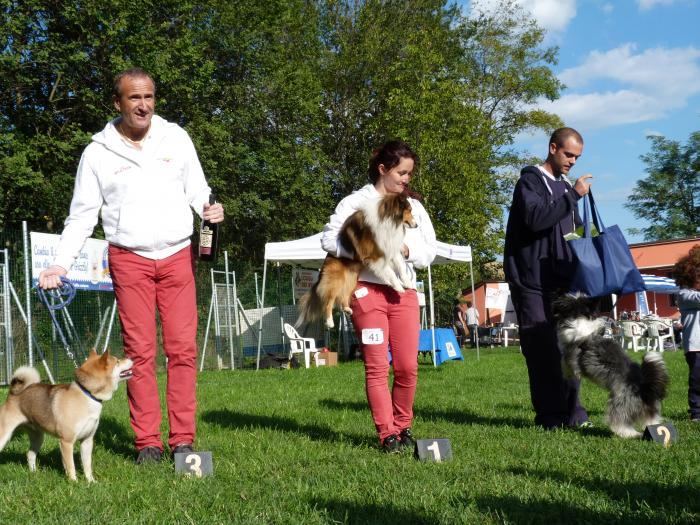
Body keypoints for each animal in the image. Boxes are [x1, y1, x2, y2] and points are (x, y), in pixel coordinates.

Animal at [0, 350, 133, 482]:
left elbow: (87, 465)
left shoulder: (87, 440)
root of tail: (12, 394)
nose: (130, 358)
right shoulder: (66, 442)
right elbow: (70, 466)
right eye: (117, 361)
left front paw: (91, 482)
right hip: (4, 435)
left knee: (30, 454)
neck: (87, 395)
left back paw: (34, 473)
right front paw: (74, 482)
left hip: (38, 436)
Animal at [296, 192, 417, 328]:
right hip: (336, 280)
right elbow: (390, 272)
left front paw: (406, 283)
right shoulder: (375, 257)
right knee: (328, 300)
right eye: (409, 210)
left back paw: (347, 309)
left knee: (343, 296)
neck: (387, 218)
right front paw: (398, 287)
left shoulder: (391, 248)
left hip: (351, 279)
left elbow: (400, 267)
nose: (416, 225)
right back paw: (329, 321)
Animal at [553, 293, 669, 438]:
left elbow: (565, 362)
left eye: (569, 299)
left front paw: (566, 373)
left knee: (620, 421)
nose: (558, 297)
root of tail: (644, 388)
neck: (581, 319)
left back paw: (627, 433)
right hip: (648, 410)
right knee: (652, 420)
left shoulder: (572, 356)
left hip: (619, 403)